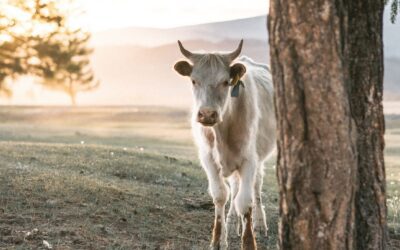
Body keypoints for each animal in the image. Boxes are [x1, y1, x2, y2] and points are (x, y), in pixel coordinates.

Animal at [173, 40, 276, 249]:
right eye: (194, 80)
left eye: (226, 82)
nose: (207, 114)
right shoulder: (209, 159)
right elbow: (221, 195)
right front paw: (218, 240)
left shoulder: (249, 159)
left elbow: (245, 201)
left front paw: (249, 241)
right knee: (234, 188)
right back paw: (232, 222)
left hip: (258, 157)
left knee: (256, 187)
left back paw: (260, 224)